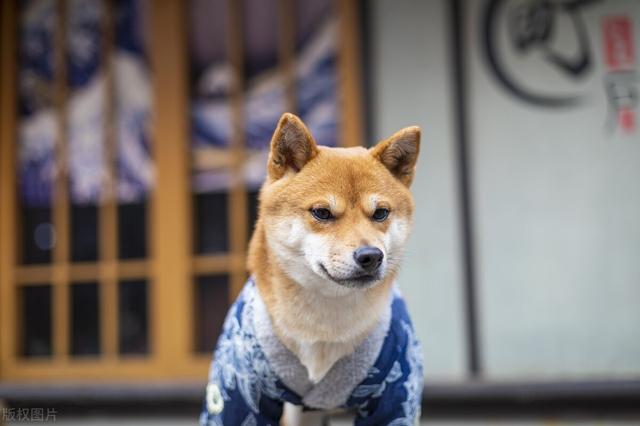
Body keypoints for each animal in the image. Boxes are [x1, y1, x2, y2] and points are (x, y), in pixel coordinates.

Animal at [198, 113, 422, 426]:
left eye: (381, 213)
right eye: (322, 213)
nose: (371, 256)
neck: (323, 324)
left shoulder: (396, 387)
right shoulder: (240, 386)